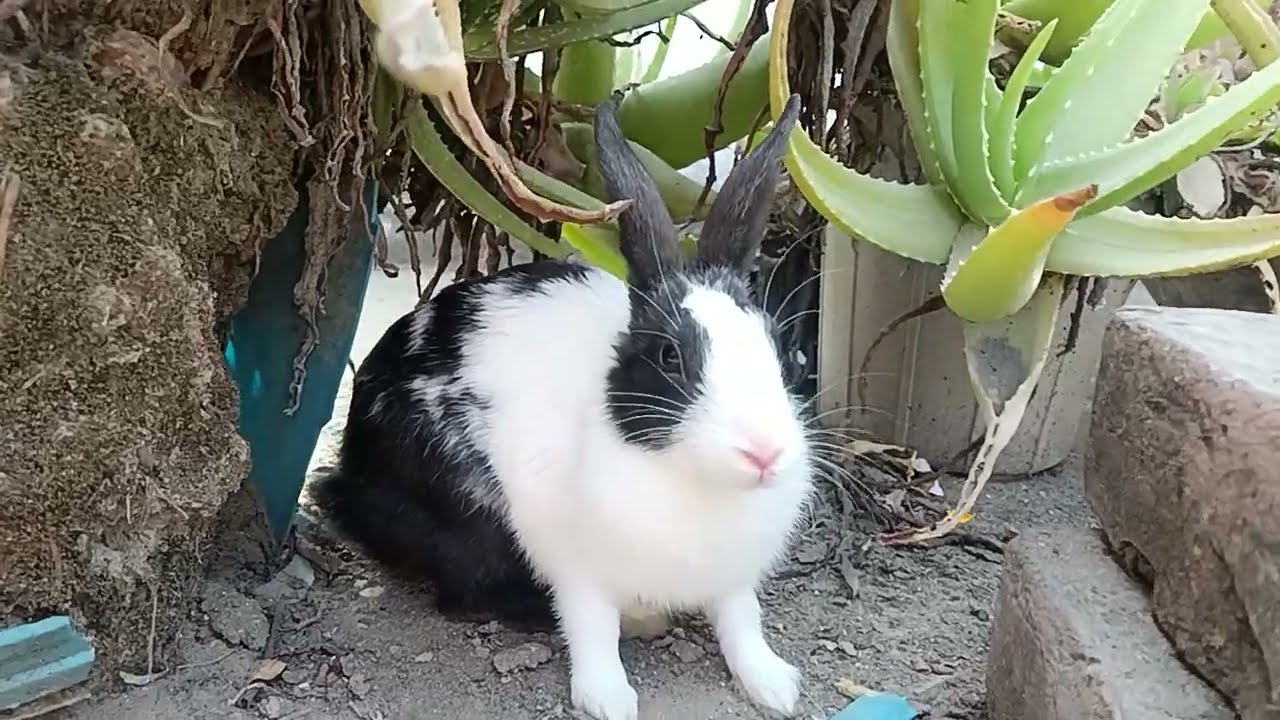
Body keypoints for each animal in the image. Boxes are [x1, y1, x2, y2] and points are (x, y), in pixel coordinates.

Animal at [311, 91, 813, 720]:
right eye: (670, 357)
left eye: (779, 346)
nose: (764, 453)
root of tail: (349, 472)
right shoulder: (575, 566)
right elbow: (590, 628)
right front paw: (609, 699)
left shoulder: (733, 577)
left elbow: (742, 622)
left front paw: (775, 686)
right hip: (460, 510)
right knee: (467, 594)